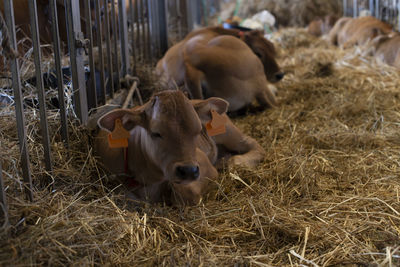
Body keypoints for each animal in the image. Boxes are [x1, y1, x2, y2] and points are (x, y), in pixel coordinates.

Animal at [94, 90, 266, 205]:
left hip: (229, 132)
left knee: (252, 144)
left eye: (197, 130)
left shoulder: (203, 165)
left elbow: (187, 192)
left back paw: (234, 161)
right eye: (156, 133)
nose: (188, 171)